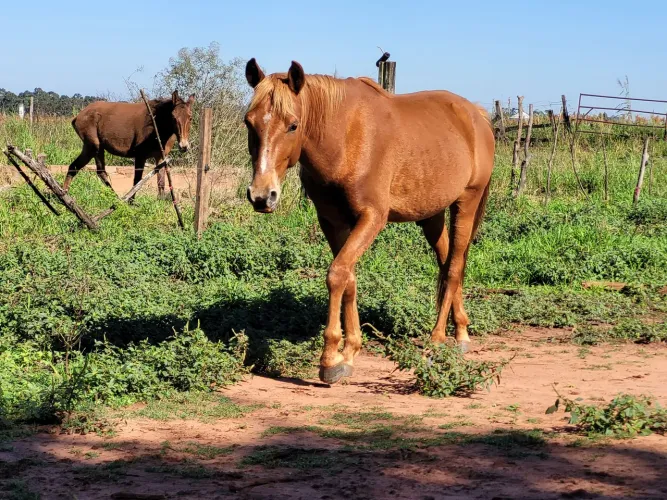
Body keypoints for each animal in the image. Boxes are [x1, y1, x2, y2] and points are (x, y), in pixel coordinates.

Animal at [64, 90, 195, 199]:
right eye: (173, 117)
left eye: (190, 117)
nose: (184, 146)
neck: (157, 126)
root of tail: (77, 117)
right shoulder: (140, 156)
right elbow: (137, 181)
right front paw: (132, 202)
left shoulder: (161, 157)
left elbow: (161, 182)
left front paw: (161, 202)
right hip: (92, 146)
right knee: (76, 167)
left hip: (97, 148)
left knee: (97, 171)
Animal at [243, 58, 495, 385]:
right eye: (249, 122)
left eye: (293, 125)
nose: (262, 196)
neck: (345, 137)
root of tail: (475, 114)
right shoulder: (332, 221)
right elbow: (348, 279)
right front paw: (349, 352)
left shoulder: (372, 218)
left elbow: (337, 274)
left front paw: (329, 360)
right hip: (432, 215)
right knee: (449, 262)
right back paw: (461, 331)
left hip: (466, 202)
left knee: (453, 269)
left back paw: (438, 340)